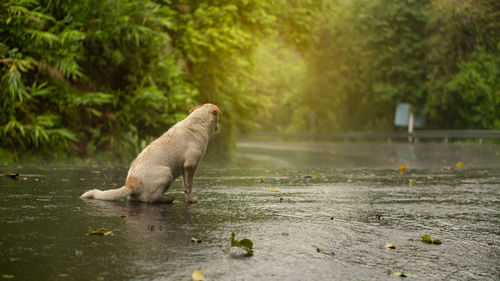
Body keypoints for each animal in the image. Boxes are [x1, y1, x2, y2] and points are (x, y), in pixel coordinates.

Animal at [80, 103, 223, 203]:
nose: (219, 128)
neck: (196, 123)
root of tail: (130, 184)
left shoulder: (184, 169)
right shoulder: (190, 166)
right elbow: (188, 187)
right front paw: (191, 200)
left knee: (135, 198)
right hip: (167, 173)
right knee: (148, 199)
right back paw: (166, 199)